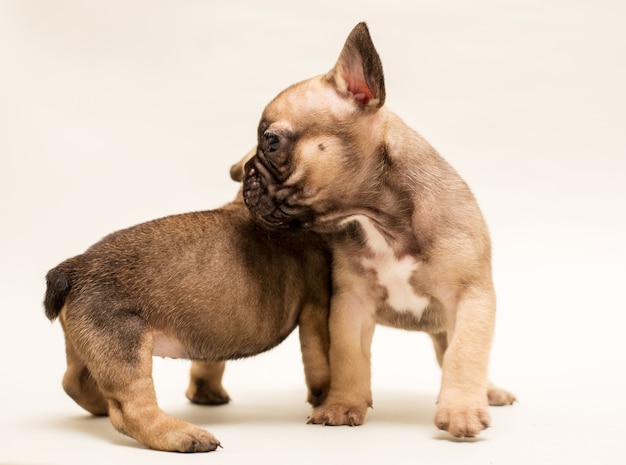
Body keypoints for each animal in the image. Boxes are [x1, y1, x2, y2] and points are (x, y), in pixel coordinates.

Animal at [44, 177, 332, 450]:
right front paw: (324, 397)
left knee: (74, 381)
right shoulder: (316, 309)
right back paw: (184, 435)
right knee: (132, 410)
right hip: (125, 344)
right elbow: (317, 358)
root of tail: (76, 268)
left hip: (88, 344)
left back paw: (103, 405)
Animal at [241, 22, 516, 438]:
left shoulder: (471, 298)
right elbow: (348, 358)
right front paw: (342, 405)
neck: (379, 220)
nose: (243, 172)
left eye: (271, 142)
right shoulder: (350, 305)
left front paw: (462, 411)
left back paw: (488, 393)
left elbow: (465, 354)